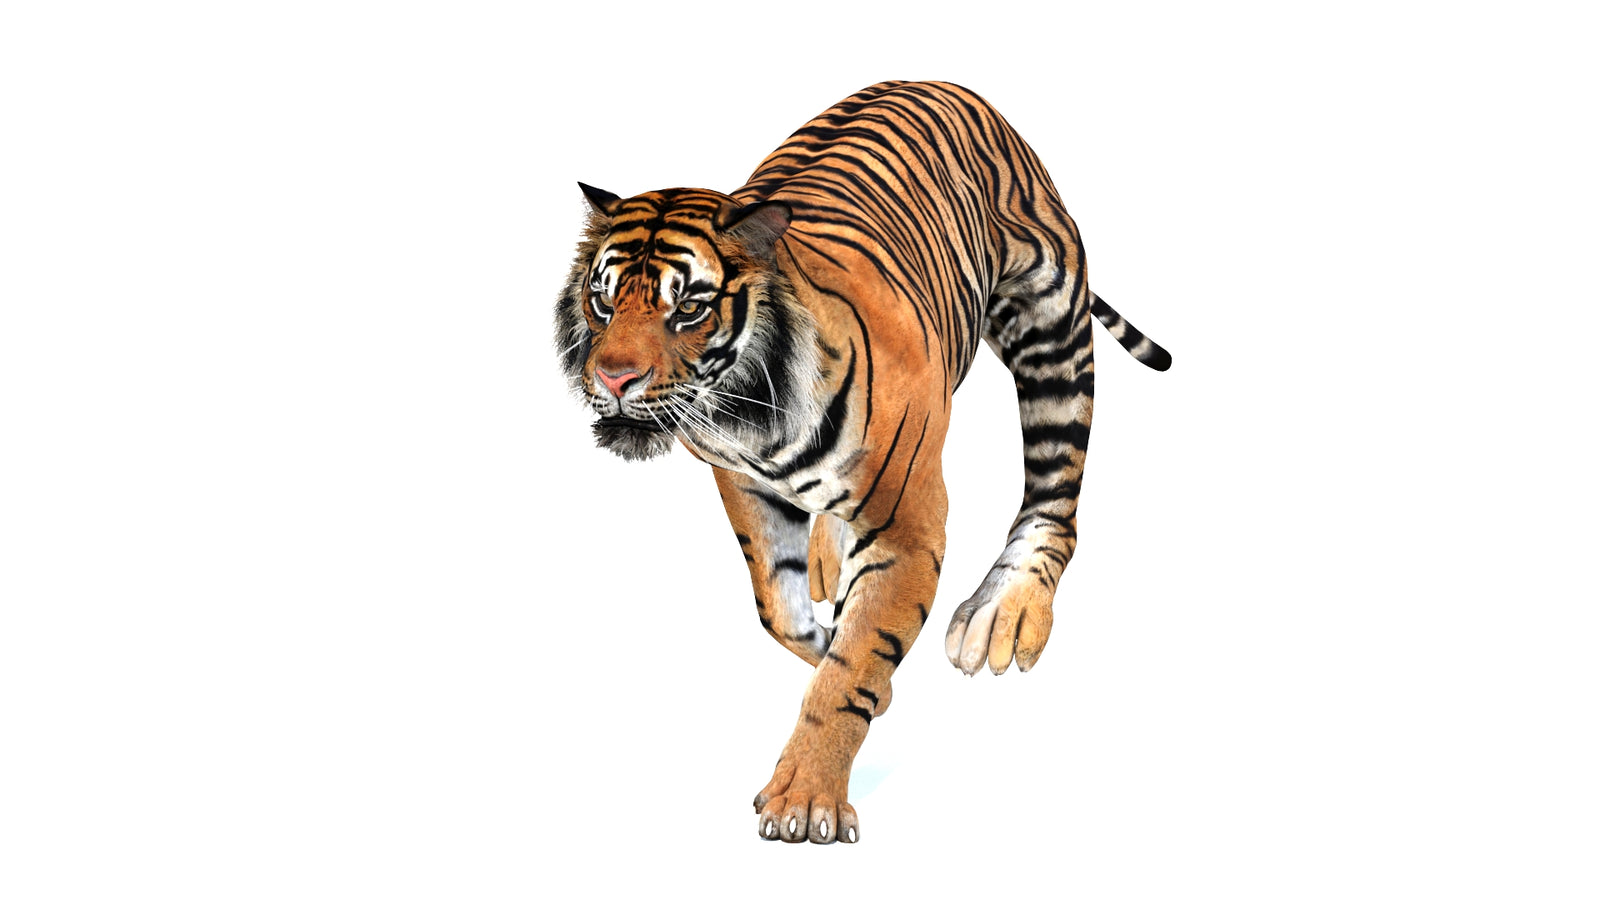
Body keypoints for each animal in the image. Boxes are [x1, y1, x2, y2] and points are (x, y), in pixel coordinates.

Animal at [555, 80, 1170, 844]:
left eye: (690, 308)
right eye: (603, 299)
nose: (612, 378)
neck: (745, 415)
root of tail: (951, 85)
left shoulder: (910, 524)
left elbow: (849, 668)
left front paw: (805, 799)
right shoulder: (742, 482)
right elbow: (779, 610)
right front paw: (838, 645)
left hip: (1051, 320)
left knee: (1057, 490)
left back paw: (1004, 613)